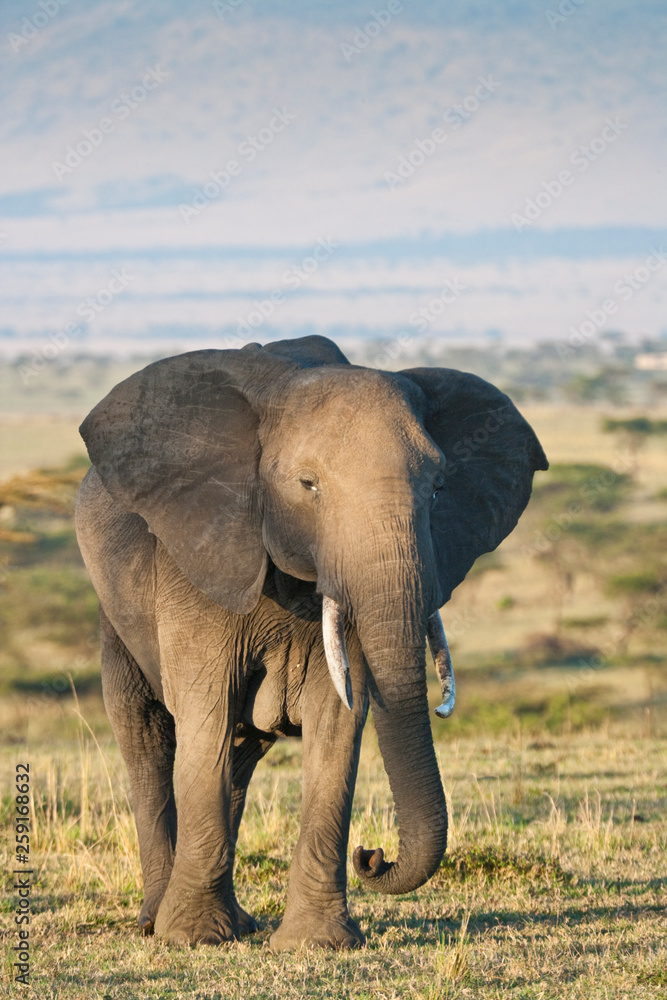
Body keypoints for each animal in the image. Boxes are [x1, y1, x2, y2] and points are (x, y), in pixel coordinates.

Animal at [74, 334, 548, 949]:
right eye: (308, 485)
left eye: (439, 489)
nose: (372, 855)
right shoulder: (199, 559)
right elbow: (206, 710)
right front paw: (192, 939)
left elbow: (339, 720)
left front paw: (317, 944)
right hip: (114, 608)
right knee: (149, 735)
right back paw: (162, 923)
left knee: (240, 751)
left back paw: (239, 925)